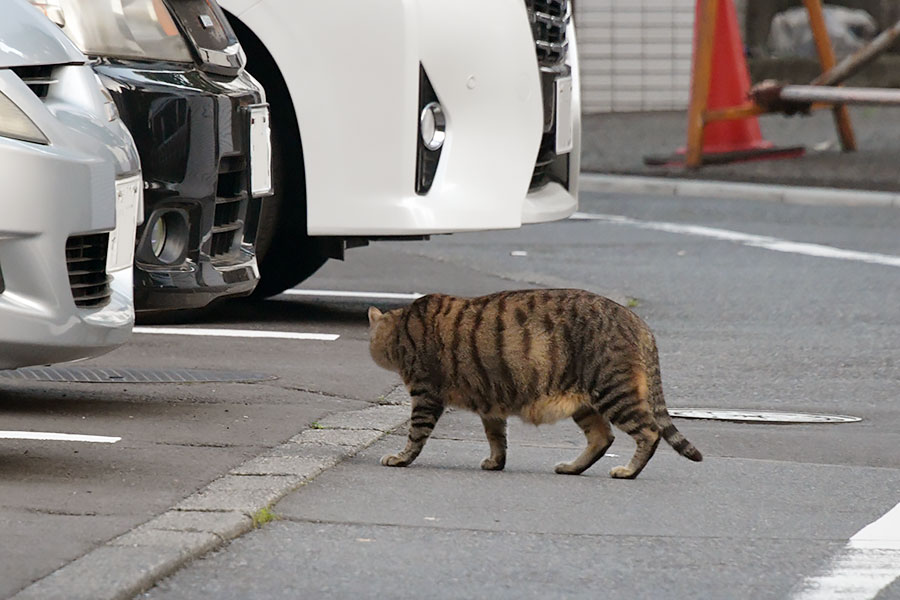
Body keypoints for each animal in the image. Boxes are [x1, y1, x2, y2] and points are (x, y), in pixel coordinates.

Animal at [368, 288, 704, 480]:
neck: (402, 327)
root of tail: (637, 320)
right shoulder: (491, 404)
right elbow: (497, 438)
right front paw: (496, 462)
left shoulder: (426, 393)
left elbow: (416, 434)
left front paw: (400, 458)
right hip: (584, 402)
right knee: (602, 438)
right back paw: (572, 467)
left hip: (613, 391)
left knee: (649, 432)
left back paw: (628, 471)